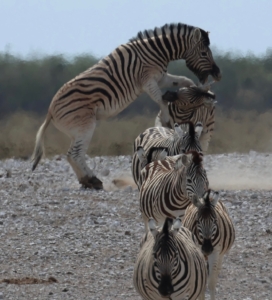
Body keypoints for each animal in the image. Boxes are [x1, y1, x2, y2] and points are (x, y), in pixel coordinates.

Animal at [31, 22, 221, 189]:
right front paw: (166, 120)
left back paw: (88, 181)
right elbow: (161, 99)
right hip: (84, 125)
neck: (156, 52)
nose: (218, 74)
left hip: (76, 130)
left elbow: (184, 81)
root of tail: (50, 111)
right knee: (74, 154)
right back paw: (92, 181)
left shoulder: (161, 77)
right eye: (204, 53)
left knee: (74, 154)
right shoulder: (147, 81)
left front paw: (199, 91)